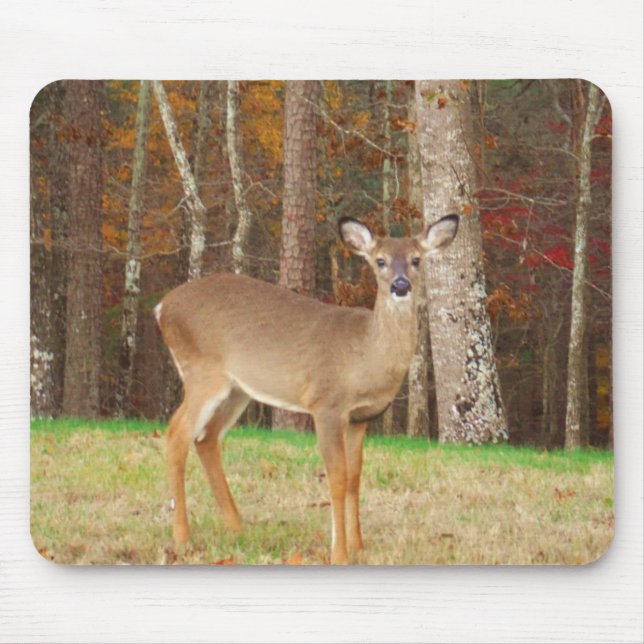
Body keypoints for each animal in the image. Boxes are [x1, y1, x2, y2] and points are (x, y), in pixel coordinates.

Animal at [155, 214, 459, 564]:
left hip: (237, 389)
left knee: (206, 438)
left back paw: (237, 528)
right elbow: (336, 478)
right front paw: (339, 552)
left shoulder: (361, 417)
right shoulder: (326, 404)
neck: (364, 356)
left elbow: (354, 478)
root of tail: (161, 307)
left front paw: (359, 546)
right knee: (177, 433)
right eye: (380, 261)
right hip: (203, 372)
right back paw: (182, 539)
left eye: (416, 259)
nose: (400, 286)